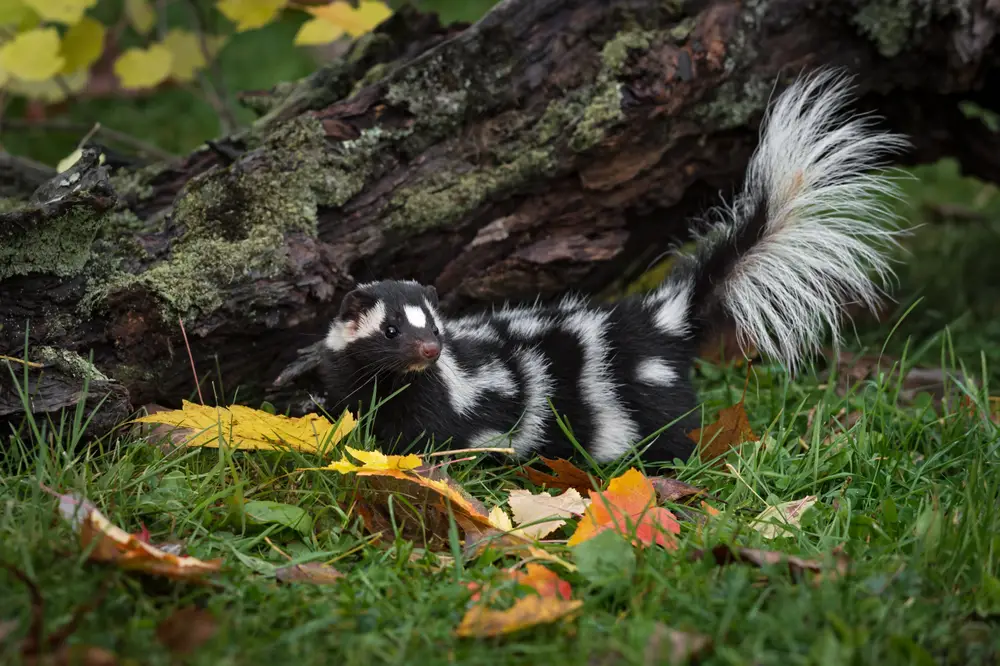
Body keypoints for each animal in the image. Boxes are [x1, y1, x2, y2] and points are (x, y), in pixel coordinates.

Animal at [318, 68, 908, 462]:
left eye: (434, 329)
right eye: (391, 331)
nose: (428, 350)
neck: (400, 382)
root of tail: (661, 316)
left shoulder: (454, 402)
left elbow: (441, 441)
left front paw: (417, 465)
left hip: (646, 394)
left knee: (670, 431)